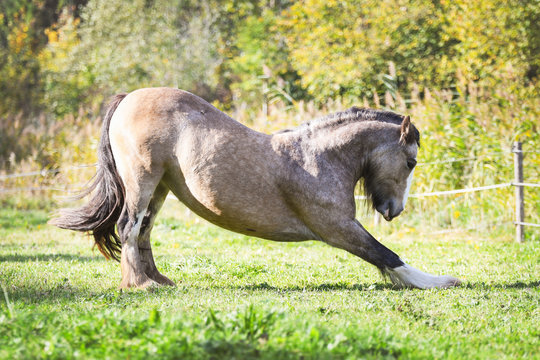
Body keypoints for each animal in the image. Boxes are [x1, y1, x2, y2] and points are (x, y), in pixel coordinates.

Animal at [50, 87, 462, 290]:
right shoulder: (338, 228)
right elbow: (386, 255)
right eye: (411, 162)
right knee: (128, 227)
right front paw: (440, 281)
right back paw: (139, 285)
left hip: (160, 187)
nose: (395, 209)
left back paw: (158, 280)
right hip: (142, 181)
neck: (319, 157)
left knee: (143, 232)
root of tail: (127, 99)